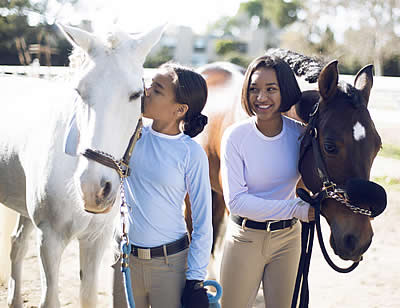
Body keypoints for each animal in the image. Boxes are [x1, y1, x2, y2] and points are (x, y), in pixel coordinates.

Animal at [0, 22, 164, 306]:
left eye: (136, 94)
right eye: (79, 91)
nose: (94, 190)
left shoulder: (95, 240)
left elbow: (88, 297)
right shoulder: (50, 239)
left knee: (17, 244)